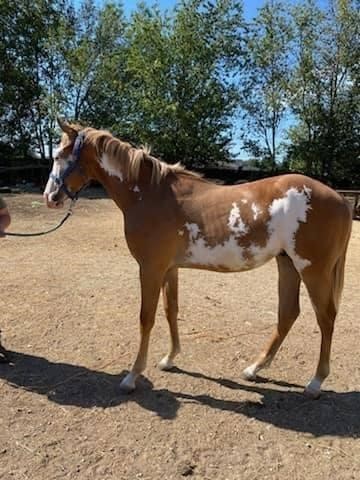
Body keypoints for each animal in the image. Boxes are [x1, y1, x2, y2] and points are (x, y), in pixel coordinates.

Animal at [43, 119, 352, 398]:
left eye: (58, 156)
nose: (50, 197)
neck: (150, 194)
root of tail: (340, 199)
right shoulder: (169, 268)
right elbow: (171, 310)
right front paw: (169, 359)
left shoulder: (150, 268)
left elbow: (146, 318)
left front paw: (132, 376)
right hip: (286, 263)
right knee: (288, 314)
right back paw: (254, 369)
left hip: (312, 270)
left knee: (326, 317)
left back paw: (315, 383)